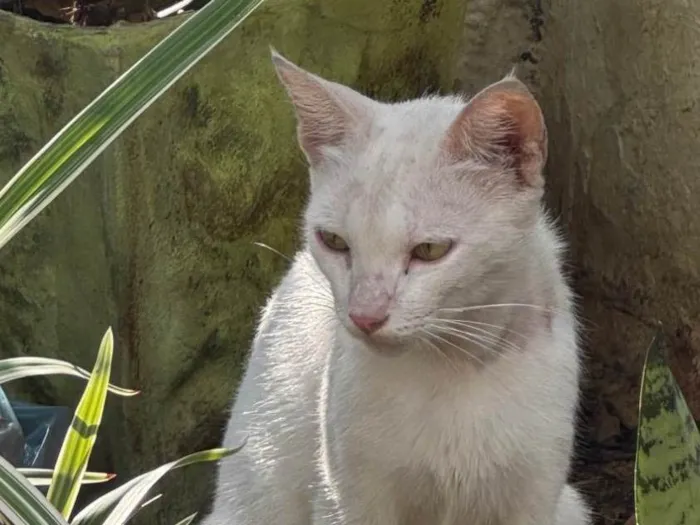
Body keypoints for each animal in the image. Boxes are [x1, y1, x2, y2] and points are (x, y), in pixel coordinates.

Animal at [202, 50, 592, 524]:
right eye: (334, 242)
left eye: (429, 250)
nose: (365, 315)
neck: (453, 370)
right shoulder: (346, 500)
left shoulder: (533, 496)